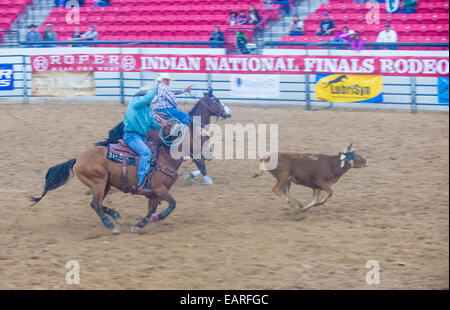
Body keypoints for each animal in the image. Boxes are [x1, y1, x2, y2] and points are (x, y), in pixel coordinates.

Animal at [30, 92, 232, 235]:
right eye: (203, 137)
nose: (228, 113)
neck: (165, 155)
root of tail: (78, 158)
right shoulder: (160, 189)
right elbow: (172, 204)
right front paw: (159, 217)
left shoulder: (155, 194)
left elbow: (150, 211)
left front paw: (139, 225)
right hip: (99, 182)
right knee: (95, 204)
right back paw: (111, 225)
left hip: (105, 184)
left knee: (98, 203)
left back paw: (116, 216)